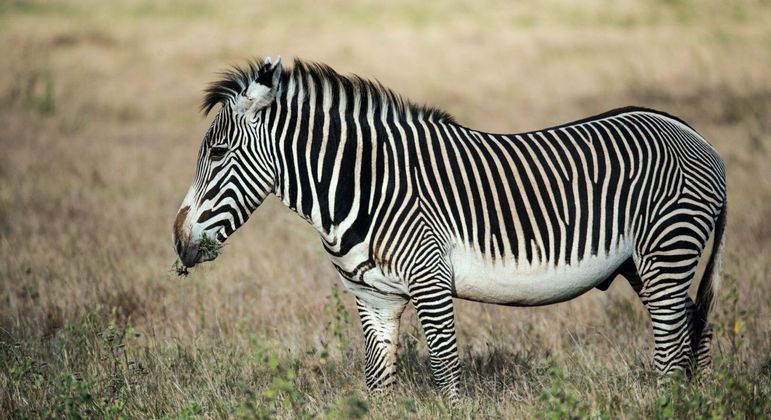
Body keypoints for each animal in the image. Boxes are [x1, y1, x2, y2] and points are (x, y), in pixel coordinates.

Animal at [172, 57, 727, 400]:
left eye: (217, 153)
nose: (178, 242)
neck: (364, 186)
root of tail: (692, 133)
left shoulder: (430, 280)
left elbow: (445, 369)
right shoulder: (374, 297)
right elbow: (378, 382)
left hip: (667, 251)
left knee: (671, 343)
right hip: (644, 264)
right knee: (691, 329)